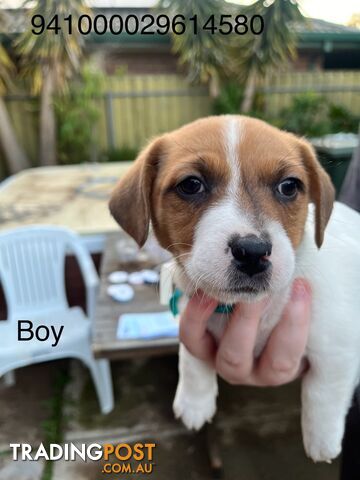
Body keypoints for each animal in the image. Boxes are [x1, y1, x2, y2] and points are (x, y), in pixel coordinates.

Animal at [109, 115, 360, 462]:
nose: (253, 252)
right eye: (191, 185)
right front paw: (194, 400)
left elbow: (323, 391)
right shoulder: (192, 315)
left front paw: (321, 439)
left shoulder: (339, 346)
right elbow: (190, 357)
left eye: (289, 186)